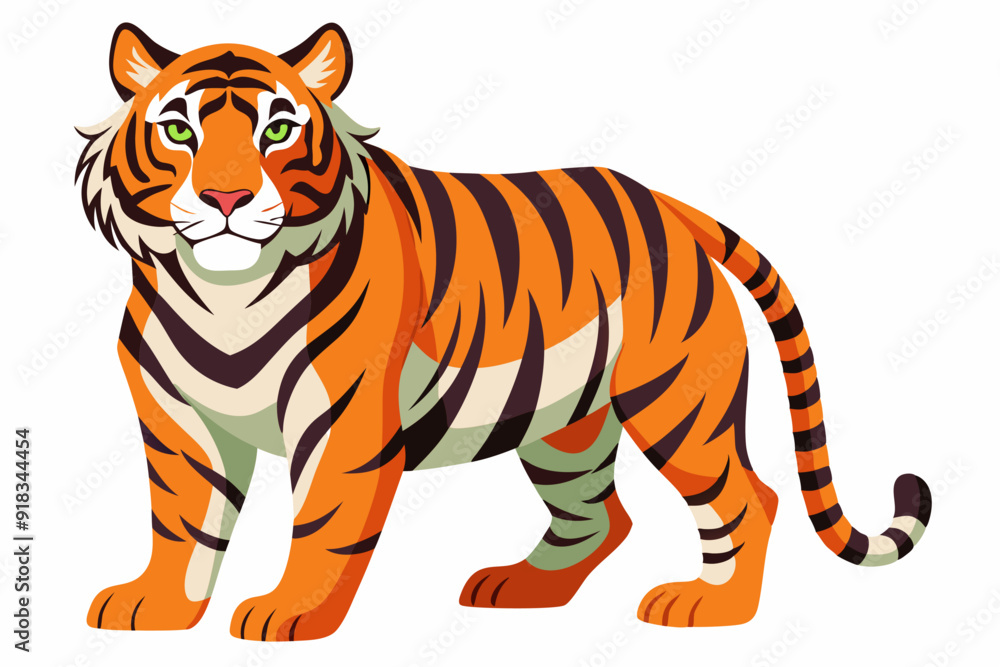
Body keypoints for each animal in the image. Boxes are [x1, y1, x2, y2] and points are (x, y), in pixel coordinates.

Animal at [76, 23, 932, 641]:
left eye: (278, 130)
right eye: (178, 131)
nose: (225, 197)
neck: (224, 292)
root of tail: (666, 203)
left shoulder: (342, 421)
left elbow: (324, 521)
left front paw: (290, 611)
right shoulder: (177, 419)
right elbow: (183, 520)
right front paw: (156, 607)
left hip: (675, 400)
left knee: (748, 497)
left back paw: (709, 609)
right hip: (564, 423)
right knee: (601, 514)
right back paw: (522, 588)